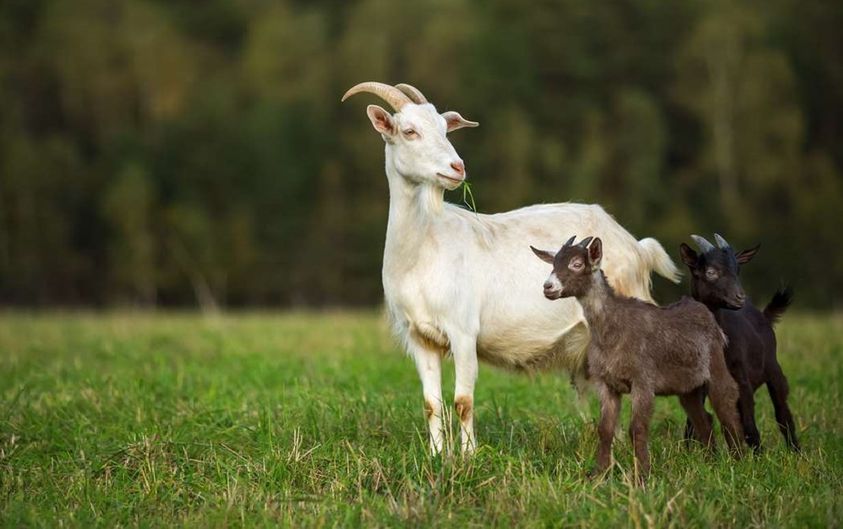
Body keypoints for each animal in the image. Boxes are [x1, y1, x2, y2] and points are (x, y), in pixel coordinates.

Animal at [342, 80, 680, 452]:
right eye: (409, 131)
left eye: (446, 129)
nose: (457, 168)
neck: (423, 250)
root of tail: (636, 247)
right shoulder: (419, 336)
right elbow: (432, 403)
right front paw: (436, 455)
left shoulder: (463, 330)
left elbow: (463, 401)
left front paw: (468, 457)